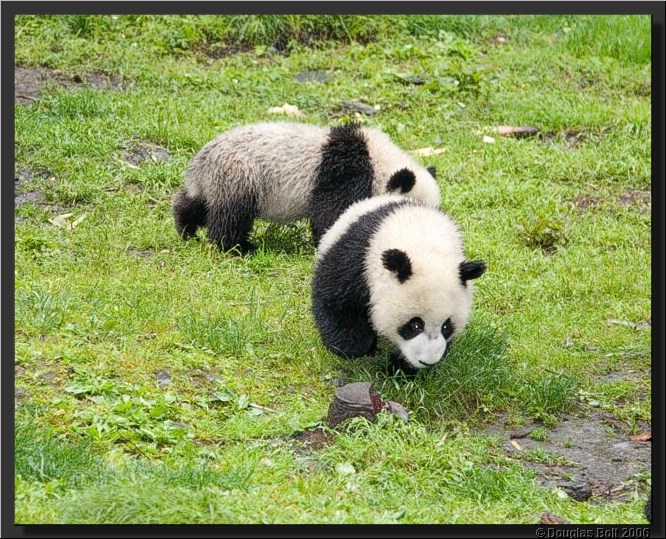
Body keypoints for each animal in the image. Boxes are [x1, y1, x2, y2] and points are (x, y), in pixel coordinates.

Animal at [173, 122, 440, 253]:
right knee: (231, 214)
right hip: (240, 174)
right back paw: (236, 247)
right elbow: (331, 212)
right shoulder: (345, 173)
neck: (379, 161)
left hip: (216, 182)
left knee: (198, 203)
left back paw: (185, 228)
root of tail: (201, 164)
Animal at [312, 194, 486, 374]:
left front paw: (402, 368)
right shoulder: (358, 259)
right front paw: (354, 349)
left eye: (446, 327)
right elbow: (337, 301)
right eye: (415, 325)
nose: (427, 362)